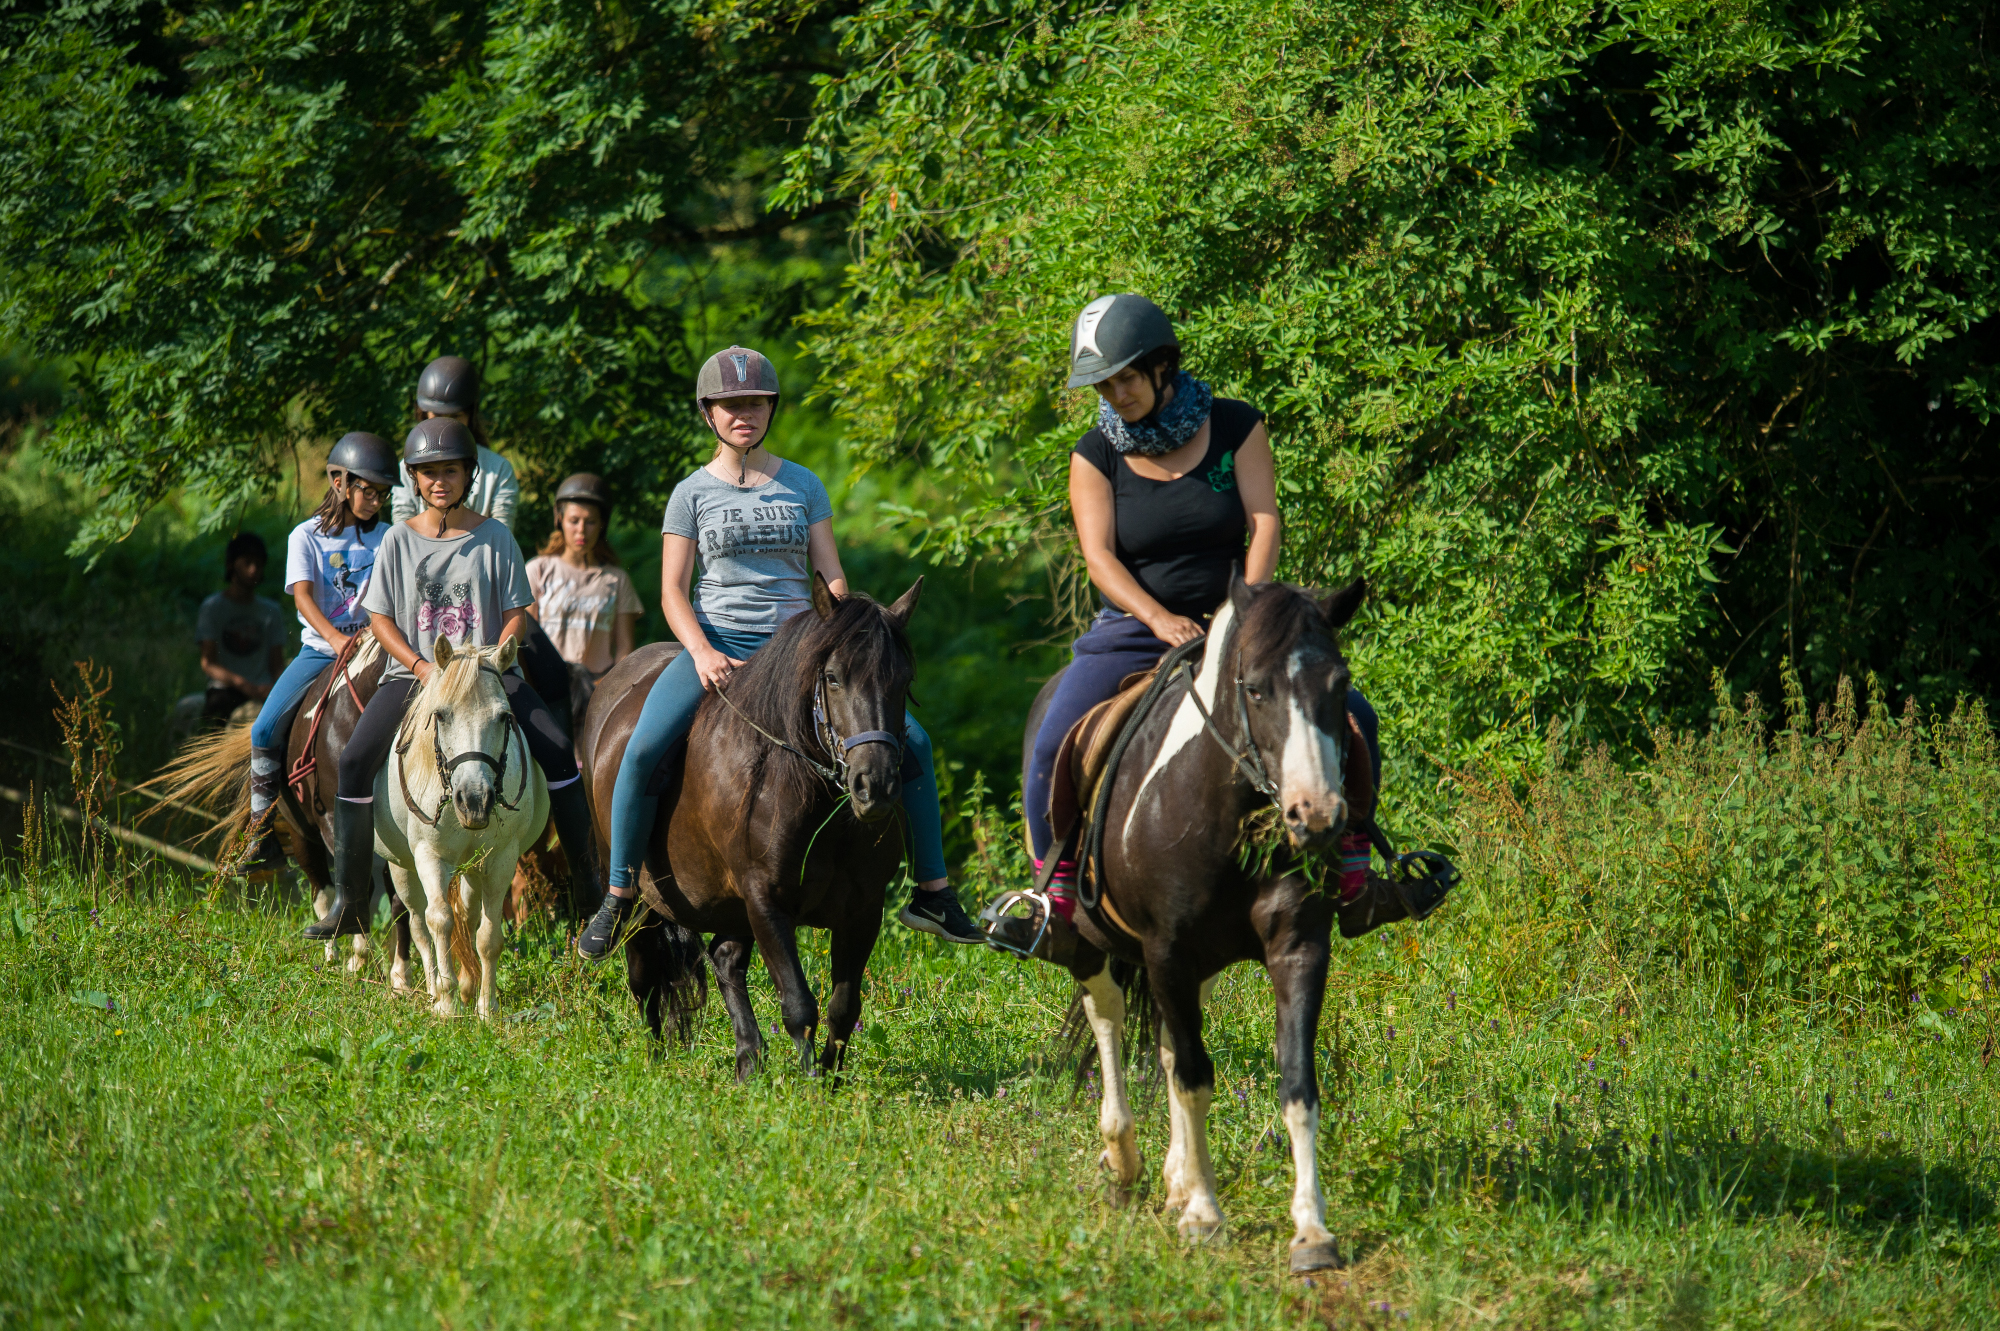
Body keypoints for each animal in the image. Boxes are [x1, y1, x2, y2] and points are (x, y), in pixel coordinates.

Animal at [580, 575, 920, 1071]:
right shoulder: (765, 902)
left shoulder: (862, 910)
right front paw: (810, 1084)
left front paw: (829, 1081)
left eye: (904, 680)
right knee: (643, 974)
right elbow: (799, 1008)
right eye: (833, 678)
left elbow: (842, 1009)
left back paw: (749, 1061)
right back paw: (659, 1061)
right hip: (638, 895)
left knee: (723, 959)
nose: (874, 785)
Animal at [1024, 575, 1448, 1271]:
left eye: (1340, 683)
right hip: (1093, 942)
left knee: (1167, 1045)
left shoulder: (1297, 946)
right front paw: (1203, 1215)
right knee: (1108, 1016)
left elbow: (1294, 1084)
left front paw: (1311, 1231)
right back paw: (1123, 1162)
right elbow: (1194, 1077)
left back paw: (1173, 1176)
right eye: (1254, 688)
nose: (1316, 816)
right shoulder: (1166, 950)